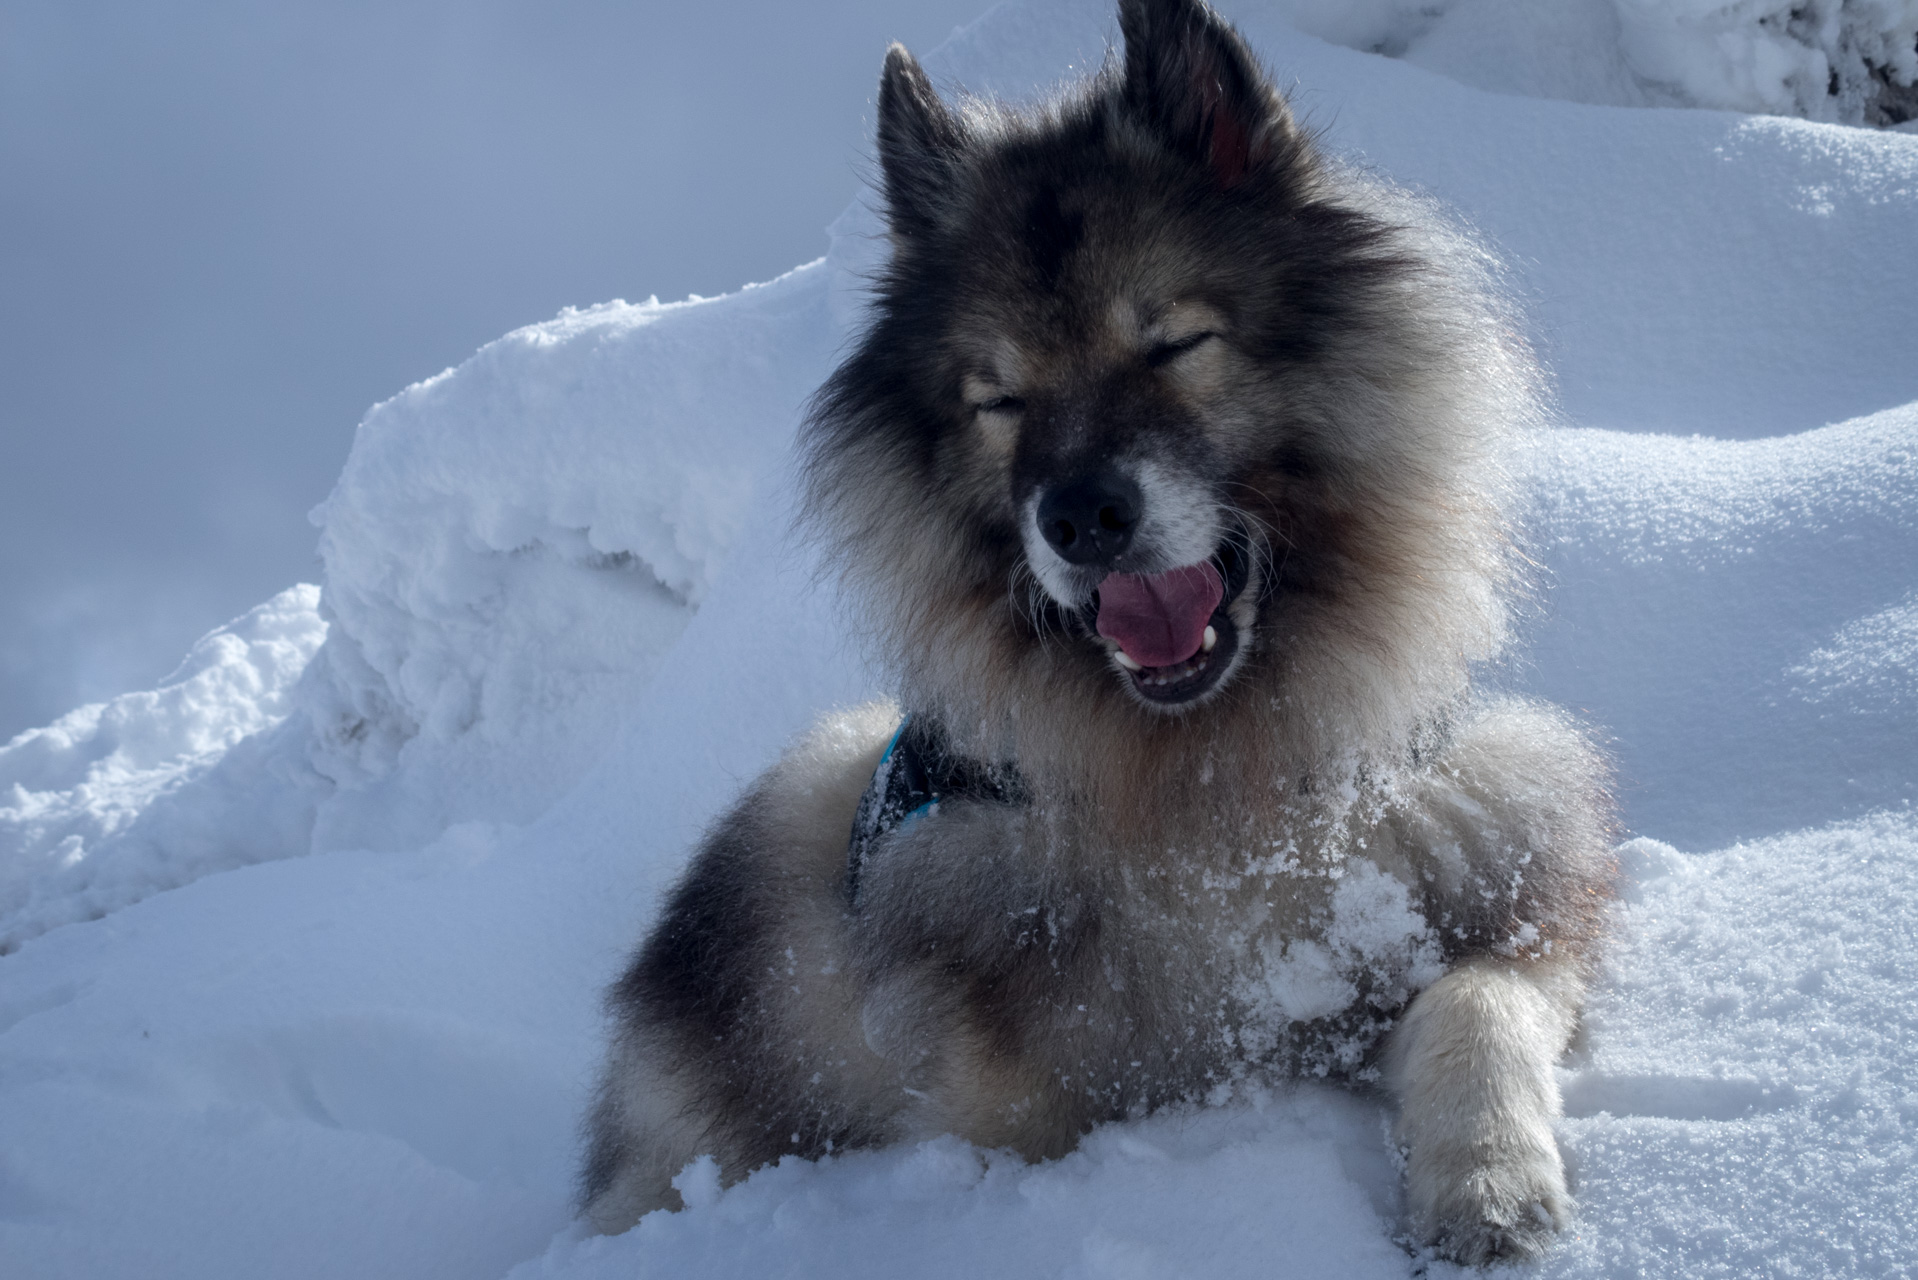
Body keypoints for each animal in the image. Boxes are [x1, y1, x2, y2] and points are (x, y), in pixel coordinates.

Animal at [583, 0, 1618, 1258]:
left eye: (1171, 342)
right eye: (999, 398)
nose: (1080, 515)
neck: (1217, 792)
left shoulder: (1492, 876)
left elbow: (1478, 998)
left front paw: (1487, 1184)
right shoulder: (1016, 1087)